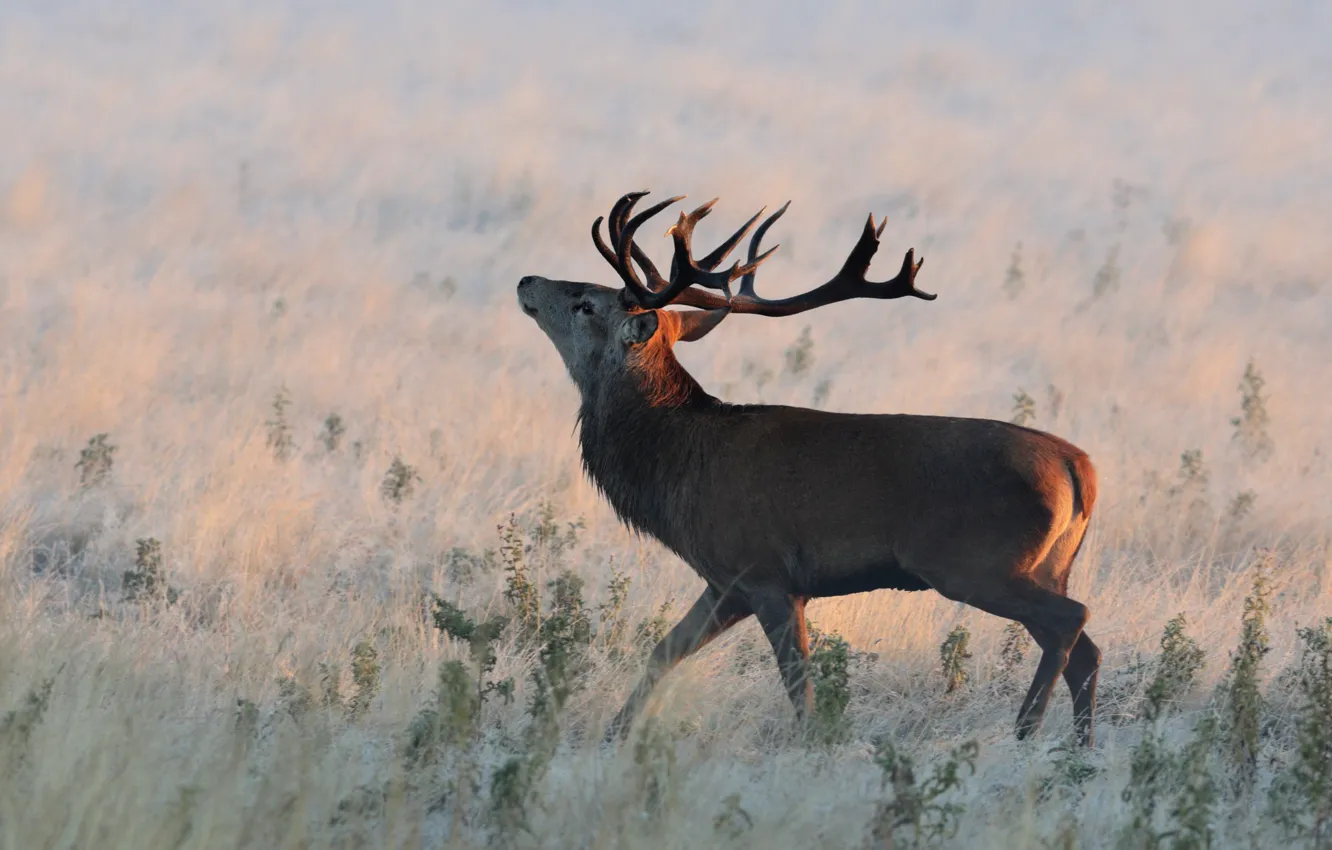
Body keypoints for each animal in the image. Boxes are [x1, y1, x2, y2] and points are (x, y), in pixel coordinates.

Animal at [516, 190, 1101, 747]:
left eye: (584, 303)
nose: (526, 279)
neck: (676, 463)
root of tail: (1081, 469)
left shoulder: (767, 571)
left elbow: (799, 685)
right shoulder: (724, 580)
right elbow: (664, 651)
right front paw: (611, 736)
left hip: (974, 562)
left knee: (1071, 621)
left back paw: (1027, 730)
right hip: (1044, 565)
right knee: (1086, 651)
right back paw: (1078, 748)